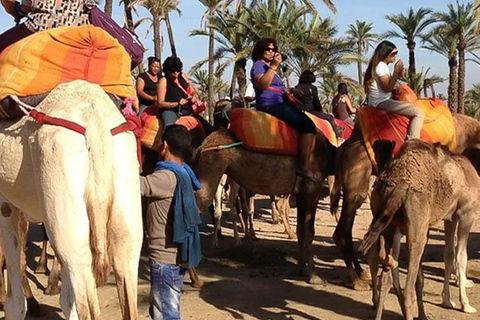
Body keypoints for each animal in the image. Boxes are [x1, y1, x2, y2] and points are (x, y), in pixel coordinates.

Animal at [195, 127, 338, 282]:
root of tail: (202, 145)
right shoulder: (312, 188)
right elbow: (309, 231)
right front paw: (313, 274)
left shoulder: (301, 192)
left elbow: (301, 230)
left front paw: (301, 269)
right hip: (214, 166)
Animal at [332, 114, 480, 290]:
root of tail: (344, 147)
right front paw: (461, 280)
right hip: (356, 184)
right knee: (342, 232)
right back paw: (357, 281)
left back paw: (362, 273)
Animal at [358, 141, 478, 320]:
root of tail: (399, 185)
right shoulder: (466, 211)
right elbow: (461, 257)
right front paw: (466, 305)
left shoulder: (450, 217)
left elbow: (449, 255)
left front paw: (448, 301)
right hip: (416, 228)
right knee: (407, 288)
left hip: (387, 222)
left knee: (385, 276)